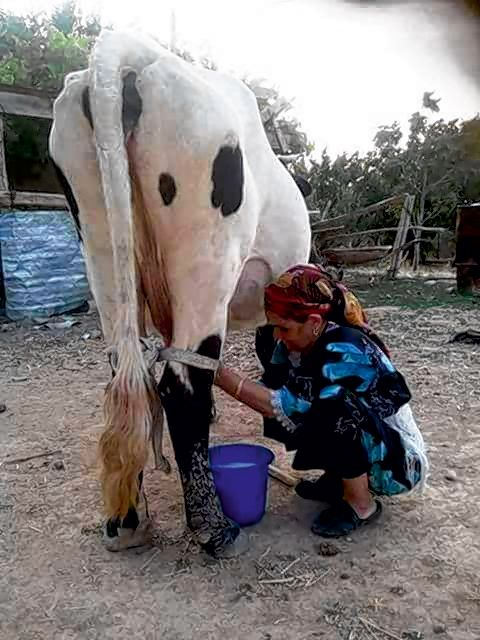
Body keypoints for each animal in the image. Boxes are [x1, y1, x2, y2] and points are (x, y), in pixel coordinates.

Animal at [49, 28, 312, 560]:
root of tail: (129, 51)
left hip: (99, 241)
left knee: (126, 374)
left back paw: (126, 521)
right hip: (206, 260)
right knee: (180, 383)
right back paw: (213, 525)